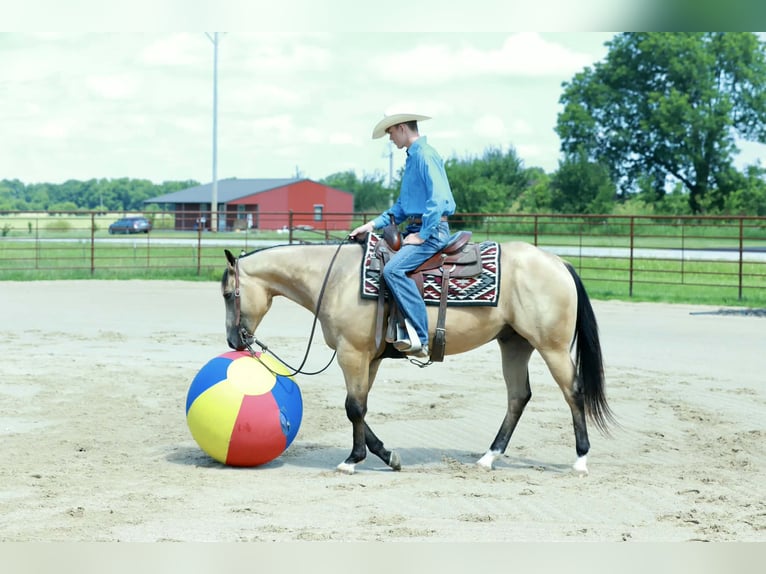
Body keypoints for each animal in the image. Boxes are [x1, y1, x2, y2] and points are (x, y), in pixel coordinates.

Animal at [220, 238, 613, 475]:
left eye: (228, 294)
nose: (234, 340)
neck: (337, 279)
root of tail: (559, 262)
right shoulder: (370, 358)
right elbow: (361, 407)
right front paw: (387, 455)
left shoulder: (352, 354)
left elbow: (354, 408)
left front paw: (352, 460)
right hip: (514, 344)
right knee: (518, 397)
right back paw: (489, 457)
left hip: (552, 347)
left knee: (573, 392)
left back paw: (580, 459)